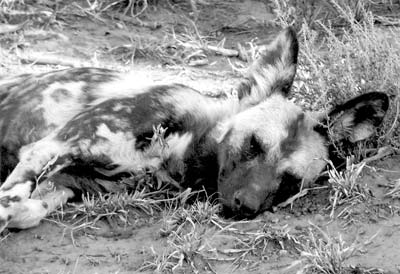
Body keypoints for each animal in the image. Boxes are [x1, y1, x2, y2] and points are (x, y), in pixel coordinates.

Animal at [0, 26, 388, 232]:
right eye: (253, 144)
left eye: (291, 181)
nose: (245, 207)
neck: (177, 156)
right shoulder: (51, 150)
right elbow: (12, 197)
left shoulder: (68, 184)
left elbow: (27, 210)